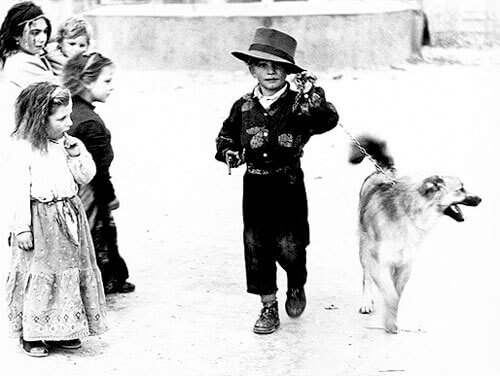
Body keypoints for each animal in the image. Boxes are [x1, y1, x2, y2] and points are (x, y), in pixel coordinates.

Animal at [348, 134, 480, 332]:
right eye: (461, 188)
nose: (481, 199)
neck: (410, 212)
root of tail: (383, 171)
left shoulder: (405, 264)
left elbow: (396, 294)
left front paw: (392, 319)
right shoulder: (378, 260)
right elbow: (389, 293)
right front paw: (389, 322)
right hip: (364, 250)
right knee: (367, 277)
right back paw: (367, 301)